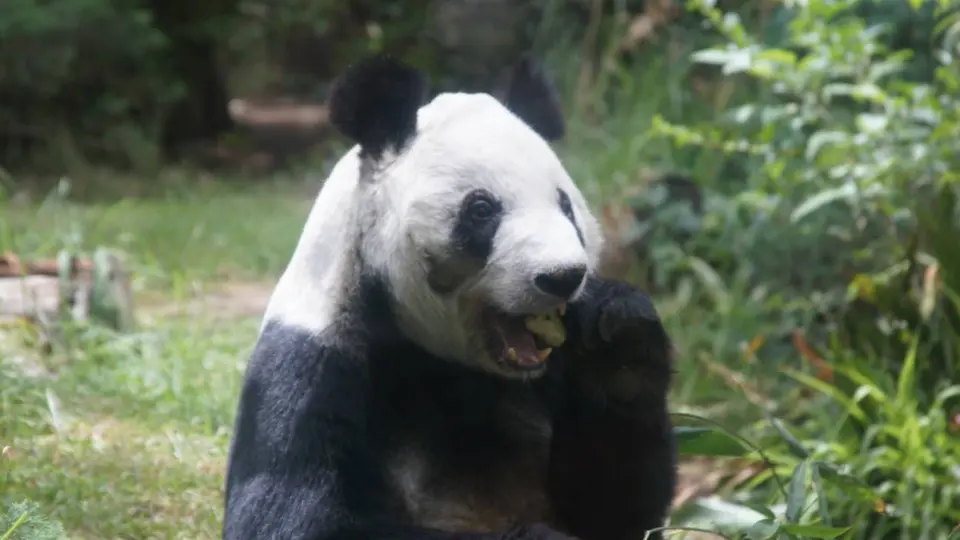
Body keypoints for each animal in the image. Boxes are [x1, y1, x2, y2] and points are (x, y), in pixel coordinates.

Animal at [222, 54, 678, 540]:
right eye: (481, 210)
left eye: (565, 205)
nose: (563, 277)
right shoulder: (315, 359)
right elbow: (294, 517)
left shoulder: (550, 371)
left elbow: (615, 509)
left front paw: (619, 339)